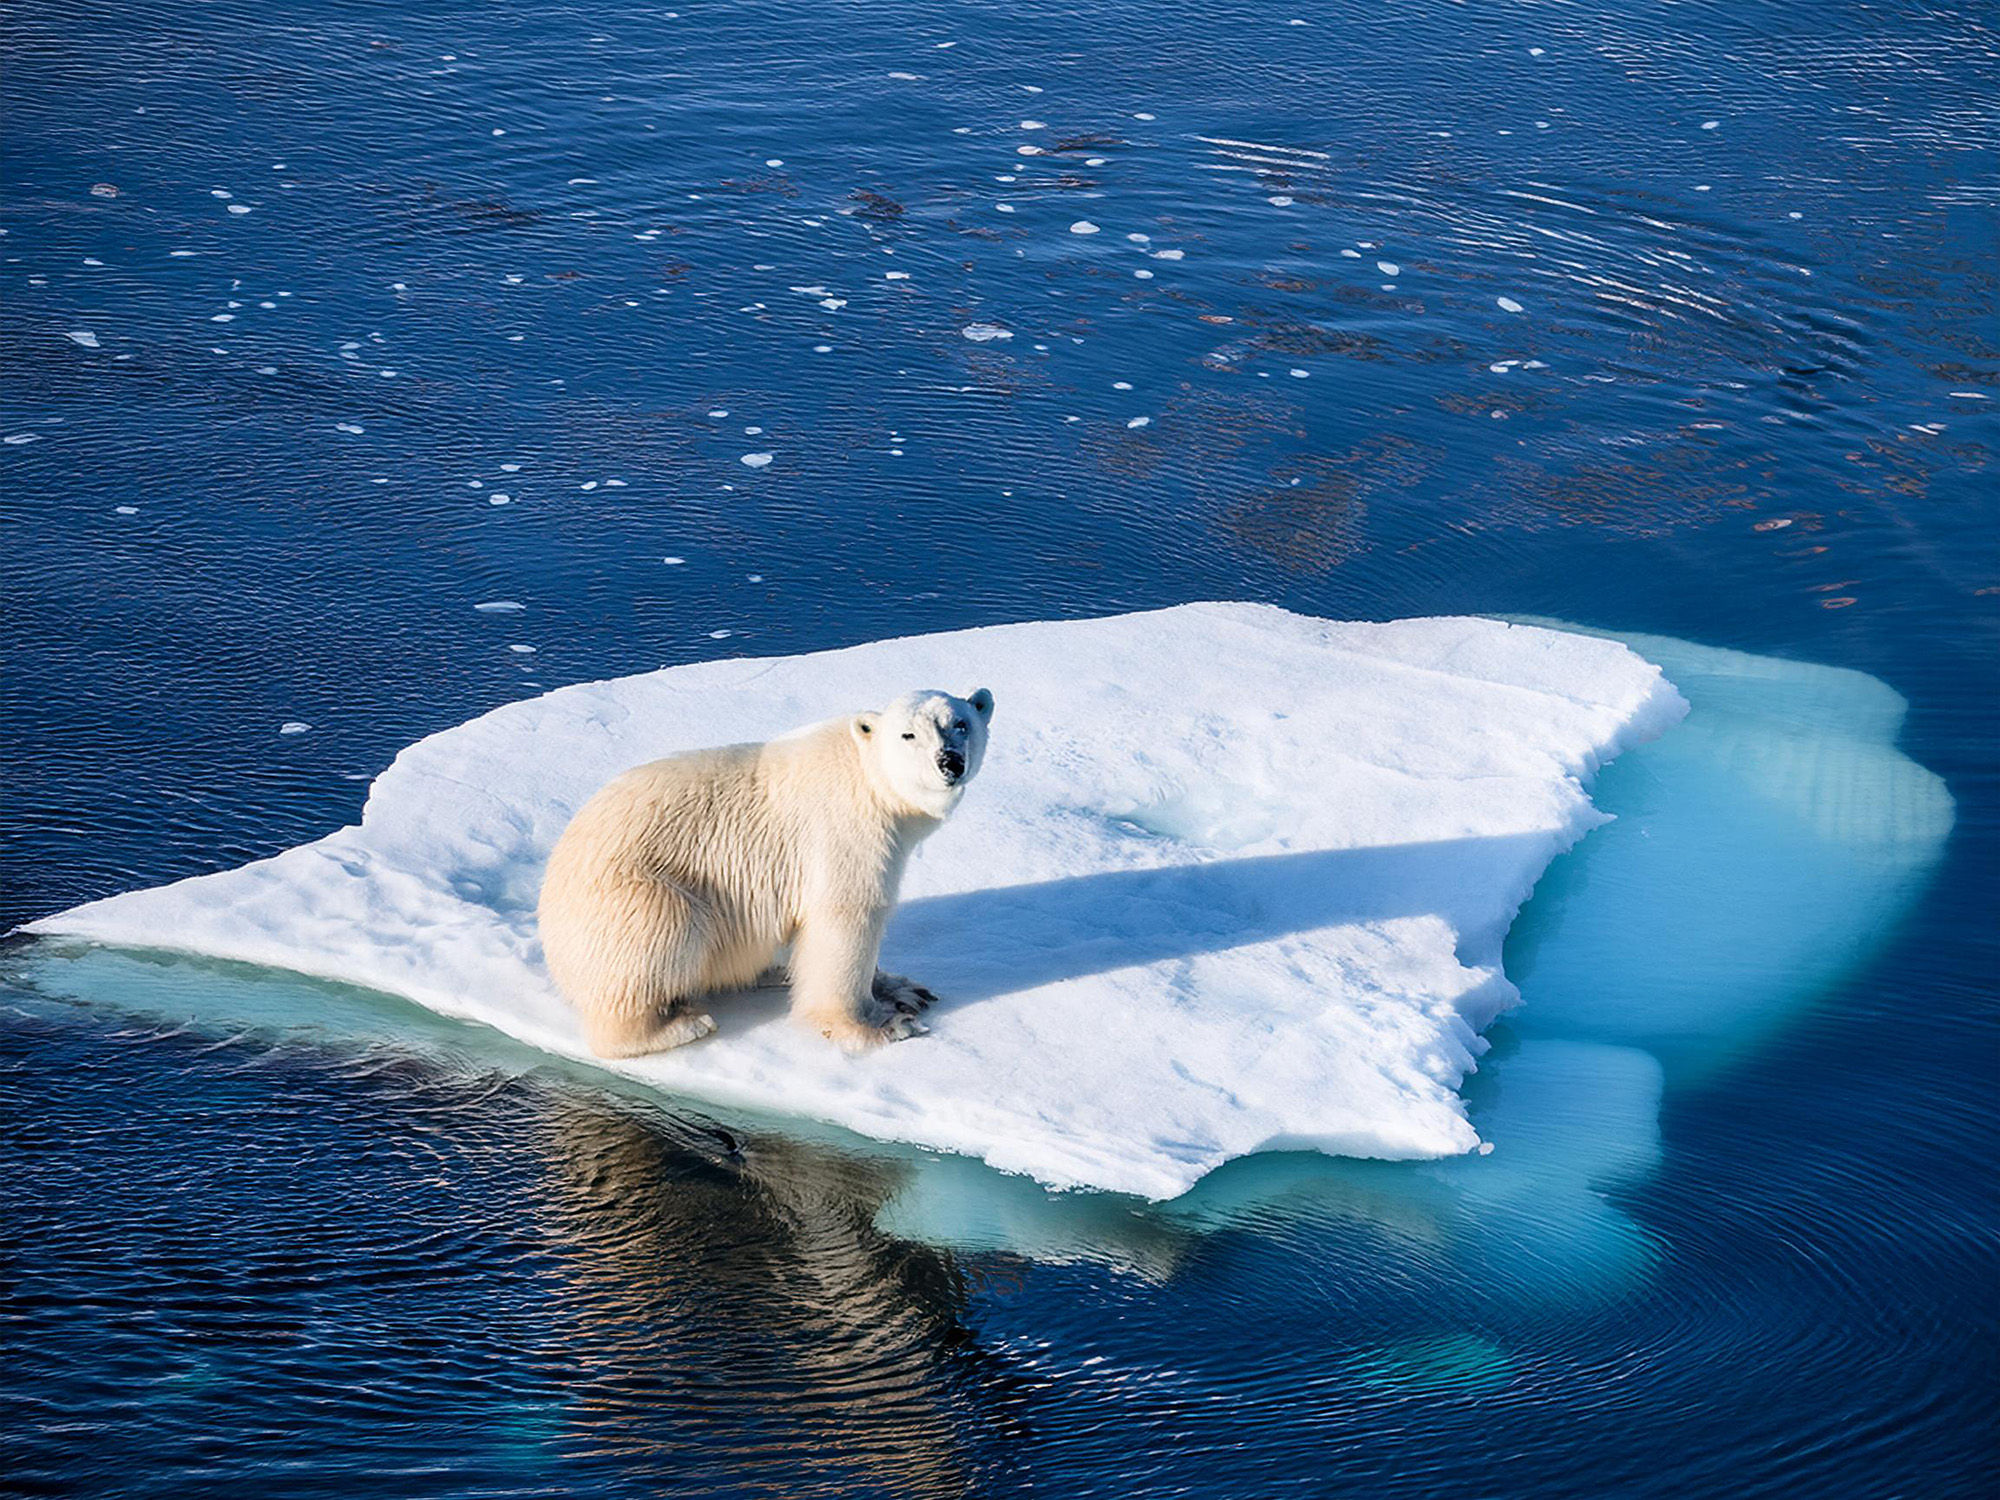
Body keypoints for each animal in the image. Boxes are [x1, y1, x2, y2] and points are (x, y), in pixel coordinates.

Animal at [537, 688, 994, 1057]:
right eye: (908, 735)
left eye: (961, 723)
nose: (949, 762)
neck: (871, 783)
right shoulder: (845, 834)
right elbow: (845, 922)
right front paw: (881, 1026)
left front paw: (904, 990)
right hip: (628, 897)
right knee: (661, 932)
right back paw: (680, 1024)